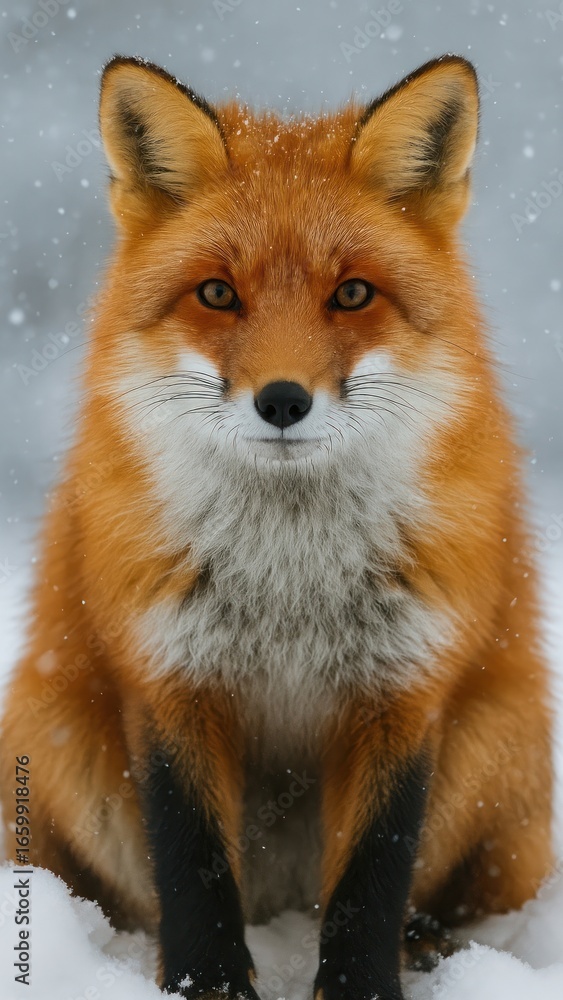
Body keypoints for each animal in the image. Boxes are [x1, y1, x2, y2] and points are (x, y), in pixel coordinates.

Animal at [0, 53, 554, 1000]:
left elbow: (373, 872)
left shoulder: (404, 687)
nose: (284, 400)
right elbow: (190, 862)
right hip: (57, 743)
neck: (288, 577)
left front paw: (361, 987)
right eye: (218, 294)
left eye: (353, 294)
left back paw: (430, 944)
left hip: (499, 736)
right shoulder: (169, 677)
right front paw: (208, 985)